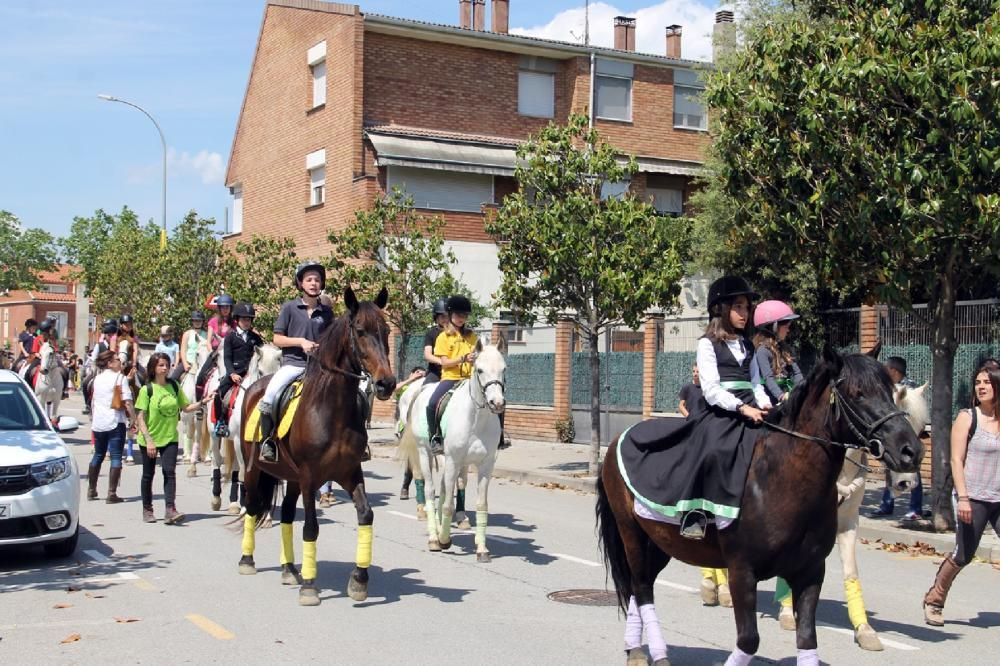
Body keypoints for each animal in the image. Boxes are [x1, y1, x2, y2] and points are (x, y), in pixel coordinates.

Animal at [204, 340, 280, 510]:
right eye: (260, 371)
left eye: (278, 372)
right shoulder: (240, 441)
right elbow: (245, 471)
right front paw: (247, 505)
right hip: (215, 436)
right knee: (217, 461)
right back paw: (216, 498)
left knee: (235, 468)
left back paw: (234, 503)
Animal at [240, 288, 396, 604]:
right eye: (360, 331)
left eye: (386, 331)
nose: (386, 383)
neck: (331, 410)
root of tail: (254, 388)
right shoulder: (310, 477)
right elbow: (311, 527)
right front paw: (310, 587)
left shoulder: (350, 472)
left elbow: (366, 515)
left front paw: (359, 580)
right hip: (254, 469)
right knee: (251, 506)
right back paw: (247, 561)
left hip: (290, 477)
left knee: (287, 515)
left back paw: (289, 569)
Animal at [398, 338, 508, 560]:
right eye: (480, 370)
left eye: (504, 369)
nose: (497, 403)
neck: (476, 419)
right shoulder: (453, 460)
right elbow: (448, 504)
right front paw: (443, 540)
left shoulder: (485, 465)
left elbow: (481, 505)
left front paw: (481, 548)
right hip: (424, 453)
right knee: (430, 490)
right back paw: (434, 536)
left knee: (442, 489)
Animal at [772, 382, 928, 644]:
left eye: (920, 428)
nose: (907, 481)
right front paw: (786, 612)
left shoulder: (848, 522)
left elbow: (851, 571)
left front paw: (864, 629)